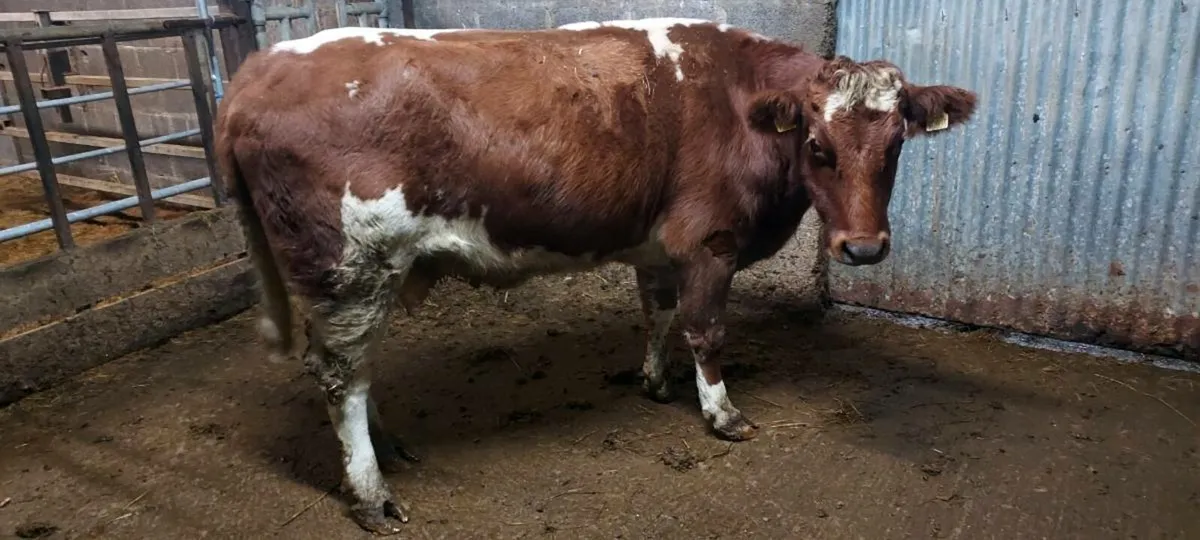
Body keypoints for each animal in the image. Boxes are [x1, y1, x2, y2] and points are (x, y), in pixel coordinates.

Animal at [214, 18, 977, 534]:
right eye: (817, 146)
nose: (864, 248)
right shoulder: (710, 241)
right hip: (350, 266)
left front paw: (655, 381)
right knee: (341, 375)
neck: (736, 98)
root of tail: (253, 72)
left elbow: (659, 313)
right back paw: (370, 493)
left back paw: (389, 448)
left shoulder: (660, 247)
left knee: (352, 369)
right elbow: (706, 329)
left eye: (897, 143)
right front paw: (722, 414)